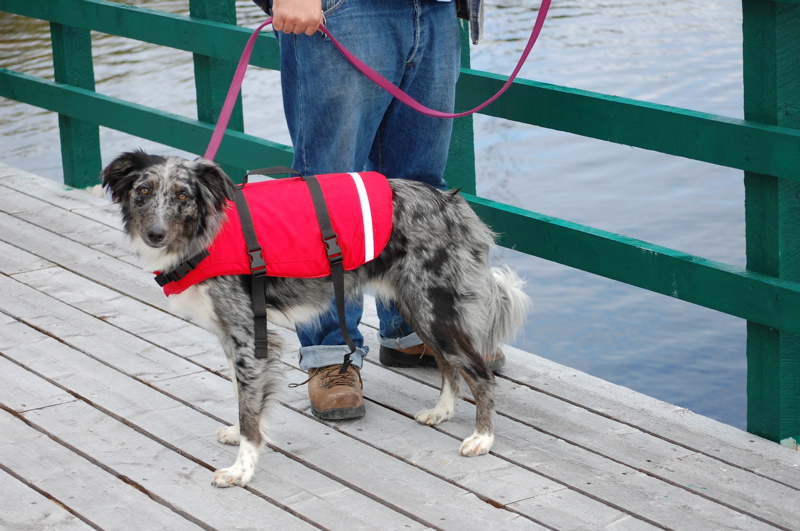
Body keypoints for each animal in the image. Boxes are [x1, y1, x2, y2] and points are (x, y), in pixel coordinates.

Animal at [101, 151, 532, 490]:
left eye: (182, 195)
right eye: (142, 192)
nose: (155, 234)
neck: (205, 232)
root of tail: (453, 203)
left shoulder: (248, 337)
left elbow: (249, 407)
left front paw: (242, 469)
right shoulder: (232, 335)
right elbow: (244, 398)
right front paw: (238, 436)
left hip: (433, 308)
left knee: (480, 373)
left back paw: (482, 438)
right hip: (418, 308)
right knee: (448, 364)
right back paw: (442, 411)